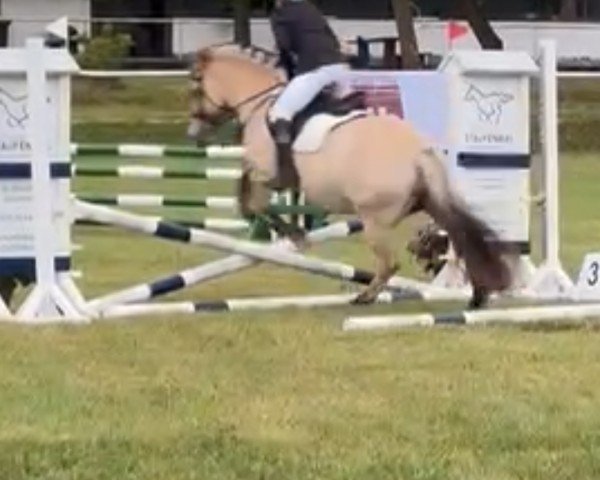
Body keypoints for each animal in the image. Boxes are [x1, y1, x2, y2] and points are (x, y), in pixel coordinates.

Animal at [188, 44, 516, 308]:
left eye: (197, 85)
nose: (193, 134)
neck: (260, 105)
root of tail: (417, 153)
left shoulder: (264, 172)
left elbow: (253, 201)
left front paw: (294, 235)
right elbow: (246, 194)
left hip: (374, 219)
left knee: (390, 263)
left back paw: (365, 297)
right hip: (430, 203)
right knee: (462, 238)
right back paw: (478, 295)